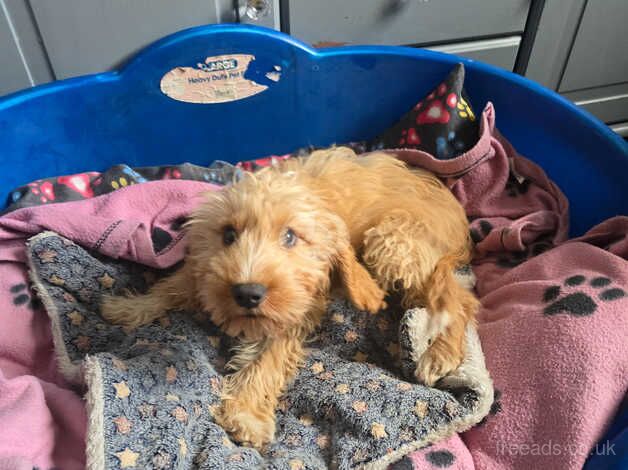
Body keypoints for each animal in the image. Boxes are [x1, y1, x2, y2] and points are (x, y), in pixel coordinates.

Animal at [100, 147, 478, 448]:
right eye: (228, 235)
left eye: (290, 237)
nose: (248, 293)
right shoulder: (204, 269)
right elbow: (173, 286)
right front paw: (128, 306)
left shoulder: (293, 312)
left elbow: (265, 362)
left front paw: (245, 415)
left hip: (393, 243)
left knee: (459, 299)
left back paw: (440, 353)